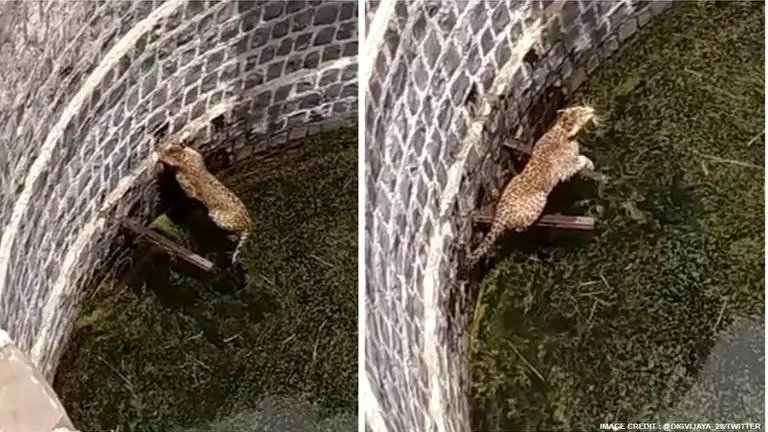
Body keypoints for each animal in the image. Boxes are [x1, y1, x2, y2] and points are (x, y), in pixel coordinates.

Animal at [156, 138, 253, 266]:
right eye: (170, 145)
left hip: (218, 218)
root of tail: (248, 221)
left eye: (169, 152)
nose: (159, 152)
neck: (184, 157)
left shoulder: (189, 190)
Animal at [464, 104, 600, 271]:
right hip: (539, 200)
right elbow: (580, 159)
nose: (592, 110)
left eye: (582, 108)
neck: (562, 129)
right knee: (518, 227)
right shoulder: (564, 169)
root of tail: (500, 213)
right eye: (582, 113)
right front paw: (589, 163)